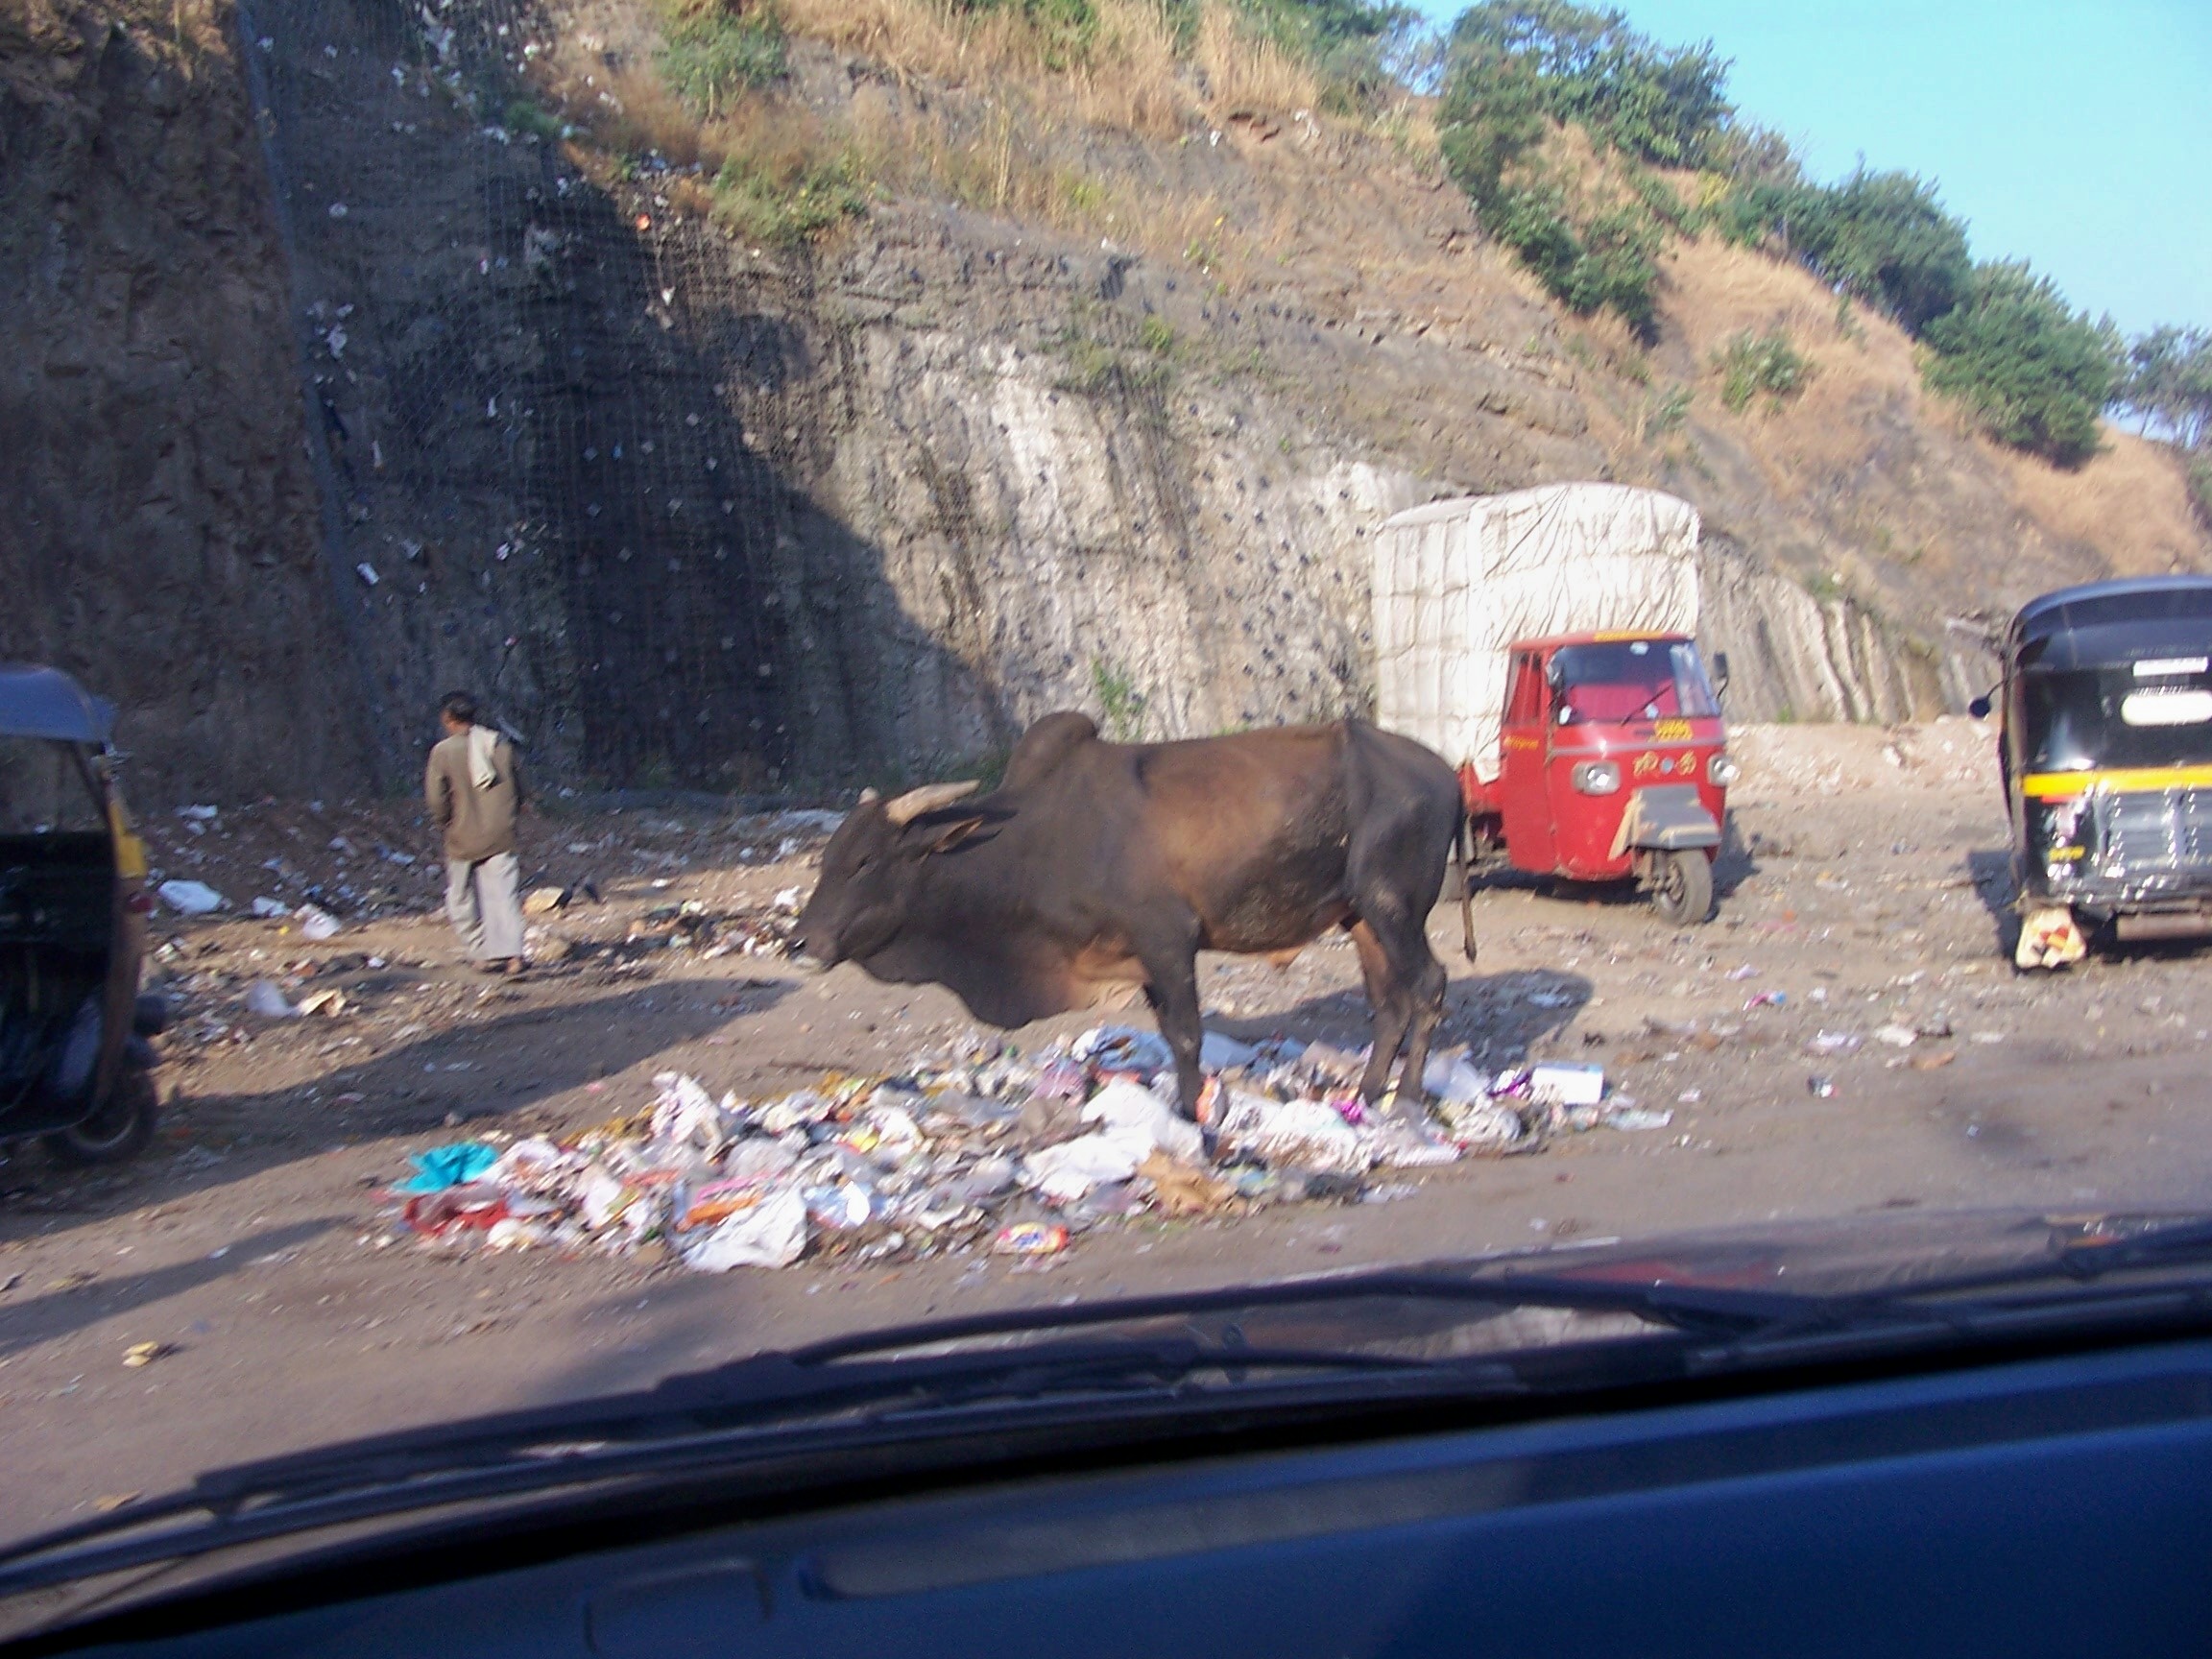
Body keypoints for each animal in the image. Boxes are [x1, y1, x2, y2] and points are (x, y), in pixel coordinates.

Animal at [795, 711, 1474, 1125]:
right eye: (827, 858)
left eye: (865, 860)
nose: (800, 943)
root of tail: (1448, 774)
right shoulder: (1141, 961)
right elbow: (1171, 1034)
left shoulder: (1168, 941)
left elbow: (1187, 1036)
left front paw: (1190, 1119)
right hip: (1360, 918)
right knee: (1388, 1003)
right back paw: (1366, 1096)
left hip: (1392, 906)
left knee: (1427, 986)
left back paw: (1408, 1098)